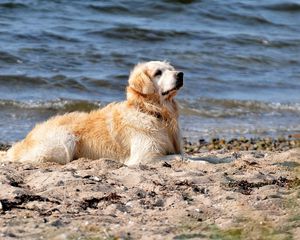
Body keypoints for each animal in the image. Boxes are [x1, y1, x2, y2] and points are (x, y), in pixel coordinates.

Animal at [7, 61, 184, 165]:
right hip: (65, 140)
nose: (180, 74)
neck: (153, 112)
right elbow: (181, 157)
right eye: (158, 73)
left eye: (171, 69)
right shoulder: (145, 156)